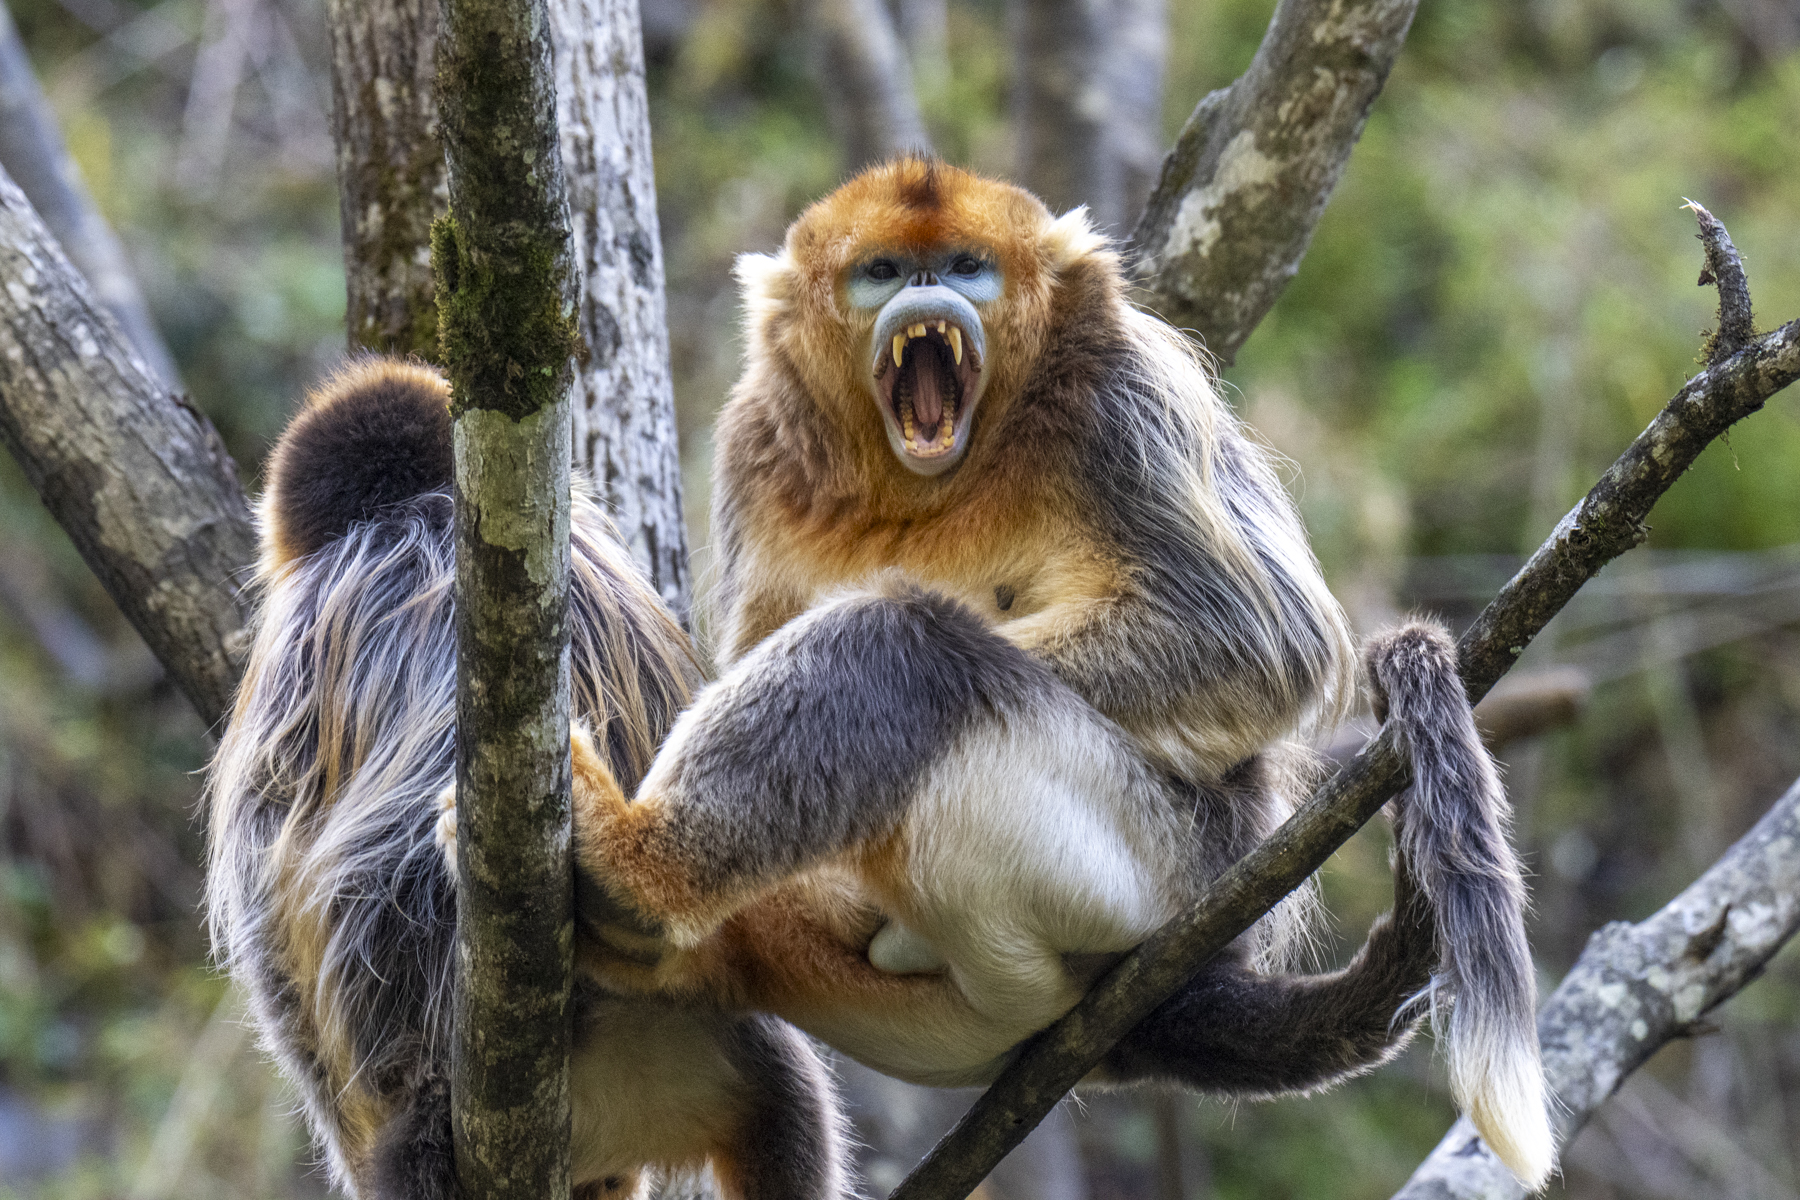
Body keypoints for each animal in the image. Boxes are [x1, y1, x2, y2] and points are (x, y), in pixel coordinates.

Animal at [568, 158, 1554, 1188]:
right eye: (883, 271)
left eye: (967, 265)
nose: (930, 291)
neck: (928, 482)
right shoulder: (757, 446)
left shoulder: (1123, 391)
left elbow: (1264, 637)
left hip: (1146, 864)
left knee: (905, 650)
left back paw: (638, 878)